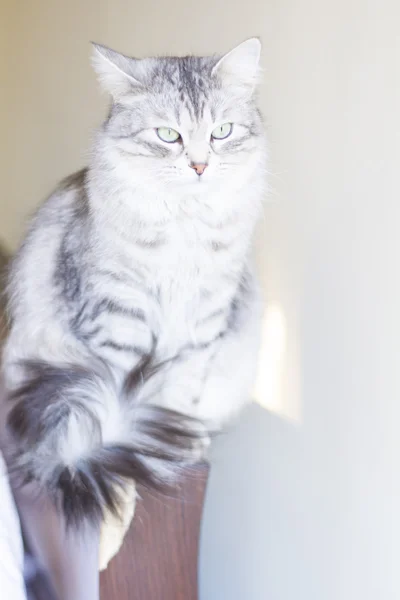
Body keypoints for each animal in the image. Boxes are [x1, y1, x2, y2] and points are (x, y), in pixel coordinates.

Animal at [2, 38, 268, 524]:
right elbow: (114, 394)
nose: (200, 166)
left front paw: (171, 443)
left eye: (221, 131)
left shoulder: (205, 318)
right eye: (168, 135)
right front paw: (118, 448)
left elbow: (179, 392)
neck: (184, 232)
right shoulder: (118, 313)